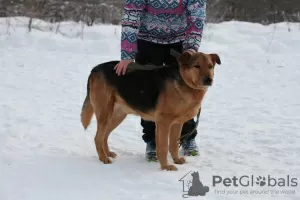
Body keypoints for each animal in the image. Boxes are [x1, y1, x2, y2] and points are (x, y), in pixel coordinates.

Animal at [79, 50, 220, 171]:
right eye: (196, 66)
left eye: (210, 66)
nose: (208, 80)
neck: (184, 82)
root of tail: (95, 69)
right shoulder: (163, 123)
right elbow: (163, 147)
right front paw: (166, 167)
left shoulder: (177, 124)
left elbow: (173, 145)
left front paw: (176, 160)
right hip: (105, 113)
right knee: (98, 137)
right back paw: (103, 158)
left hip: (118, 115)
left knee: (104, 135)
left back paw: (107, 153)